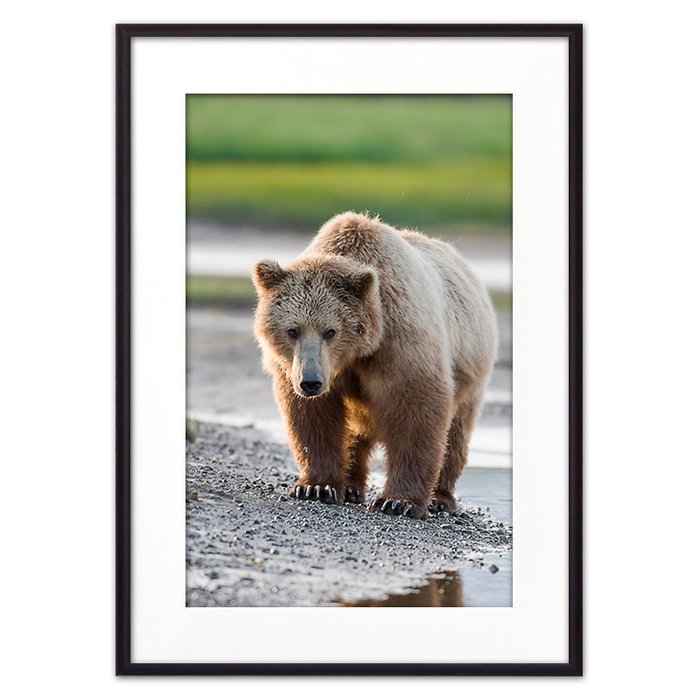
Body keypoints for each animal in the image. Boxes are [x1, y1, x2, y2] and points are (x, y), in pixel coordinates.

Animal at [252, 212, 498, 519]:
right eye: (292, 330)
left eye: (330, 331)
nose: (310, 382)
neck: (354, 354)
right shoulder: (296, 369)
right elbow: (313, 418)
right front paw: (316, 487)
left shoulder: (400, 343)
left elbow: (416, 411)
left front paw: (398, 501)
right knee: (356, 432)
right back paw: (352, 485)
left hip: (471, 373)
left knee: (456, 433)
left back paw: (441, 497)